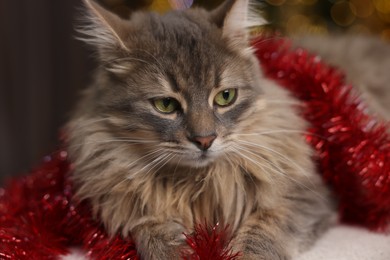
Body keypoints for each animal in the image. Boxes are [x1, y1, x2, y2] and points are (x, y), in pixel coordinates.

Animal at [67, 0, 336, 260]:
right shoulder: (125, 201)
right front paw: (179, 251)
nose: (205, 140)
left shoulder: (307, 198)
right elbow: (151, 226)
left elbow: (264, 229)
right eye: (166, 105)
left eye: (225, 97)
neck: (196, 182)